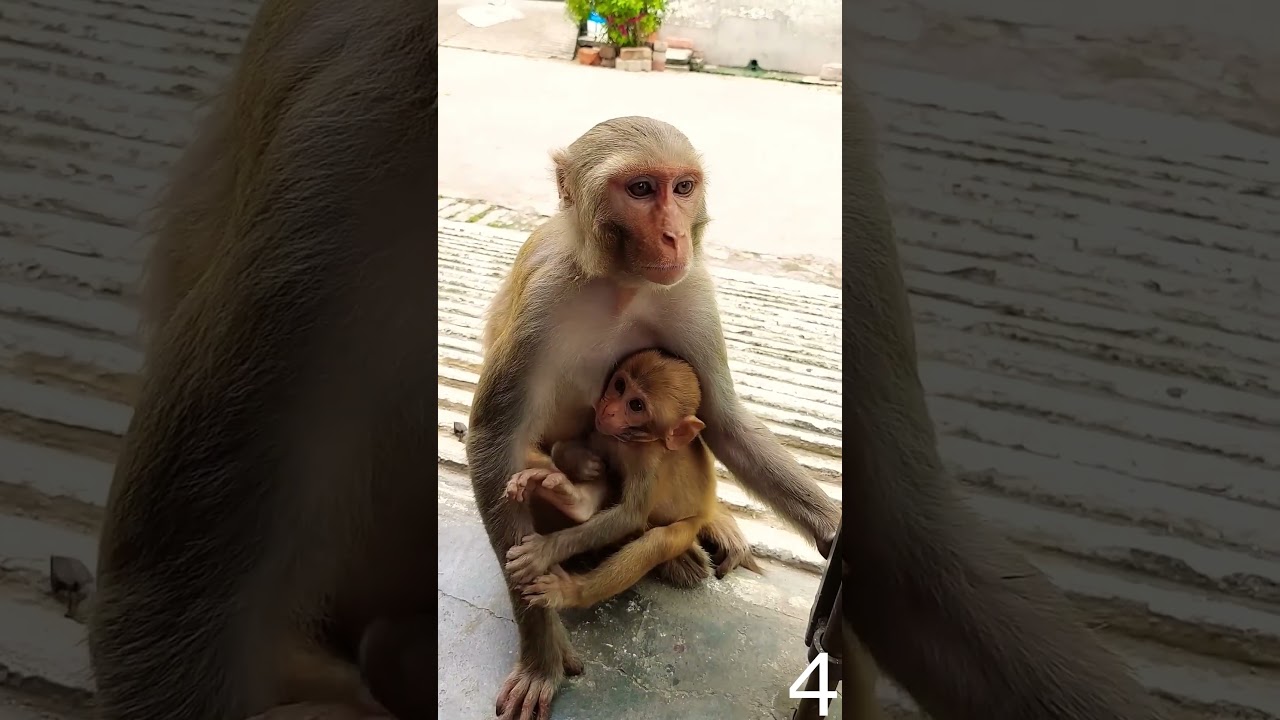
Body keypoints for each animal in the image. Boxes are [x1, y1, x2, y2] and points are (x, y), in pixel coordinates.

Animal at [502, 348, 762, 607]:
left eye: (636, 405)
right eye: (619, 386)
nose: (609, 408)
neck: (632, 442)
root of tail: (704, 512)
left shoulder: (650, 462)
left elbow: (630, 516)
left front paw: (545, 550)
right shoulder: (606, 434)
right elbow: (575, 448)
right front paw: (581, 461)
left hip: (689, 527)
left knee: (658, 542)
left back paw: (569, 592)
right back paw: (572, 500)